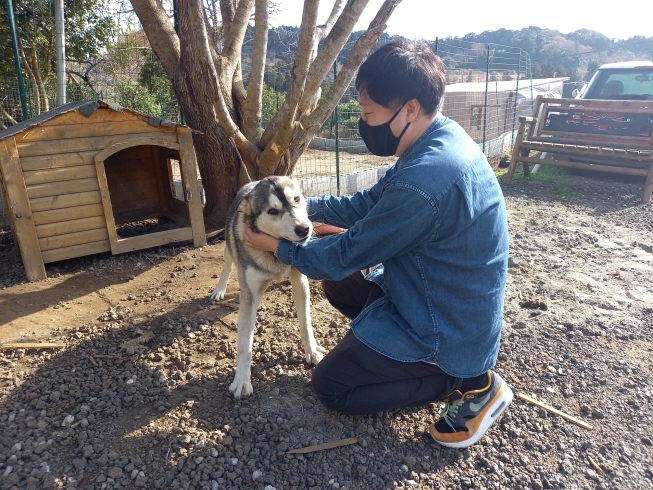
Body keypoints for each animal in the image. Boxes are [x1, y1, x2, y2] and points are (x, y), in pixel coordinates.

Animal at [210, 176, 324, 398]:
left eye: (296, 199)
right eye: (272, 211)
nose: (304, 229)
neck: (275, 252)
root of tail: (250, 183)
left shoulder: (300, 281)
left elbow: (306, 323)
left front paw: (312, 351)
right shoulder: (249, 294)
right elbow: (245, 344)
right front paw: (241, 381)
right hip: (229, 250)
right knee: (227, 265)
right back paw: (220, 290)